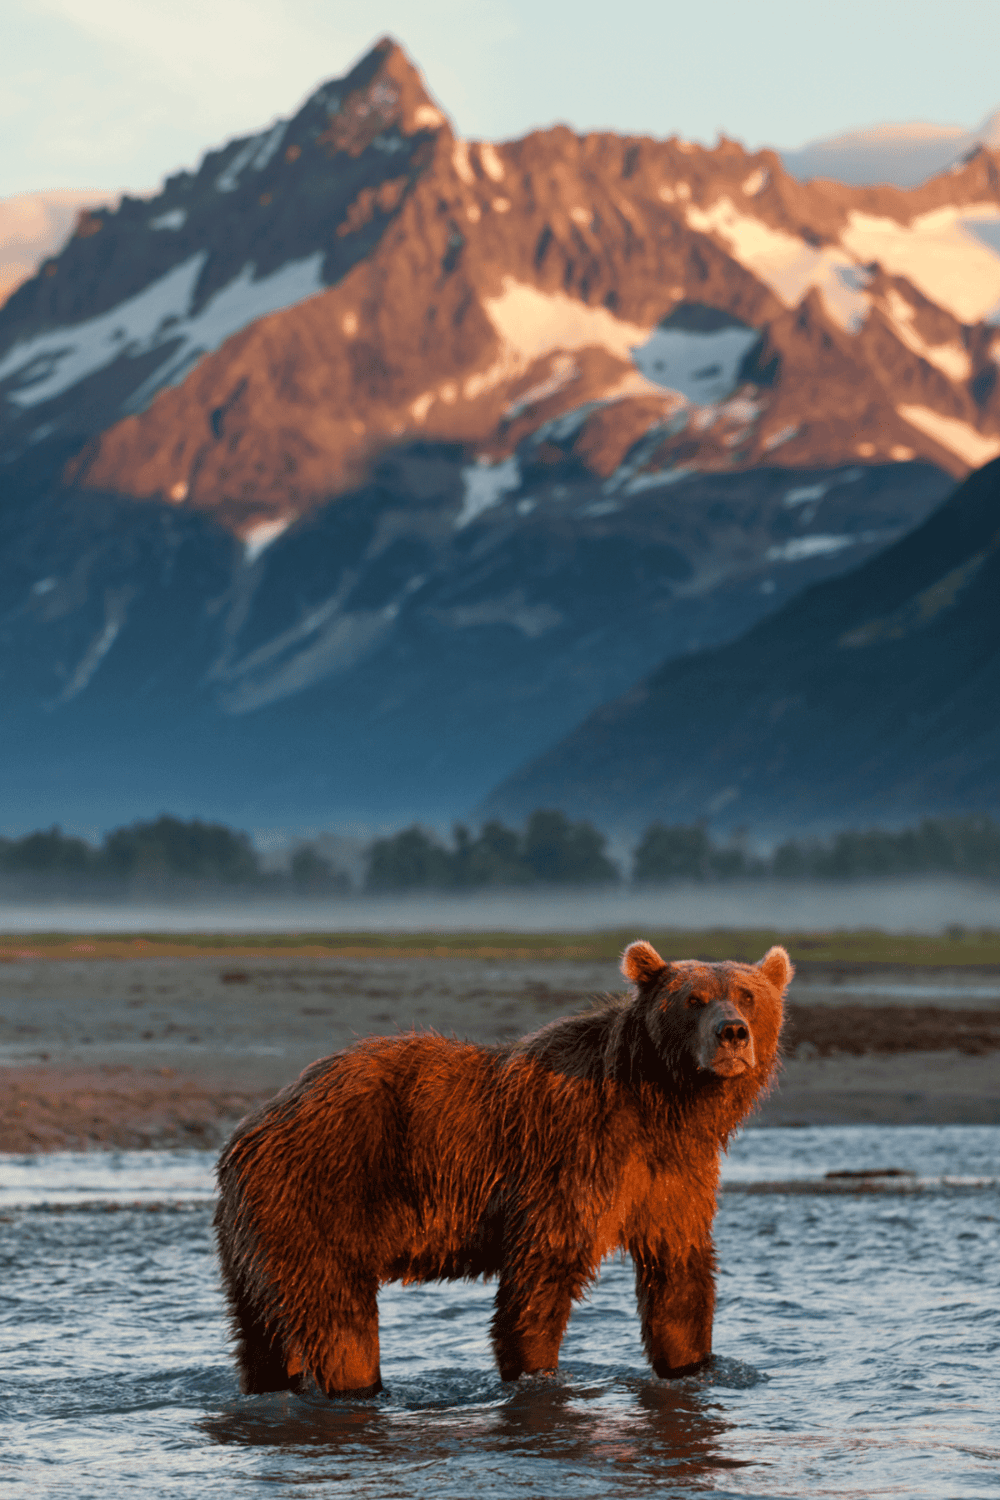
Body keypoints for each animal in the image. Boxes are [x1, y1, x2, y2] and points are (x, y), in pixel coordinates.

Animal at [215, 941, 791, 1396]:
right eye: (693, 1000)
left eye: (748, 995)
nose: (732, 1033)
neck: (663, 1103)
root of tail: (249, 1128)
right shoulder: (572, 1156)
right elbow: (542, 1274)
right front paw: (536, 1375)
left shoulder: (674, 1175)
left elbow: (679, 1274)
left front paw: (694, 1367)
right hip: (324, 1194)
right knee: (340, 1322)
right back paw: (359, 1388)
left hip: (257, 1237)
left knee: (260, 1332)